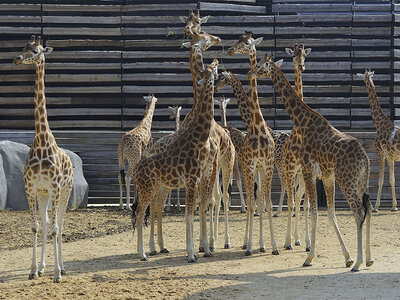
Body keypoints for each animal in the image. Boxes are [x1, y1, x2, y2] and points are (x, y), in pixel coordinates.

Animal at [131, 57, 219, 262]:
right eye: (212, 68)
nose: (216, 60)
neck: (200, 137)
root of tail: (136, 171)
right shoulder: (192, 180)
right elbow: (189, 215)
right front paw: (191, 254)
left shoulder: (199, 179)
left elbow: (199, 209)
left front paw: (206, 249)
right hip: (148, 188)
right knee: (140, 213)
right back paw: (143, 253)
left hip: (156, 187)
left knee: (149, 210)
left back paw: (149, 249)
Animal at [248, 54, 374, 272]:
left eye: (260, 66)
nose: (249, 73)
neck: (302, 121)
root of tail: (365, 159)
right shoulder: (326, 176)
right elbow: (329, 213)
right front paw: (346, 257)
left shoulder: (308, 171)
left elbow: (314, 212)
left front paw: (309, 257)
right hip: (360, 182)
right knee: (367, 209)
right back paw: (367, 259)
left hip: (346, 180)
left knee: (358, 212)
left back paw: (358, 263)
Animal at [360, 69, 400, 212]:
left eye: (364, 76)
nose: (365, 80)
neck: (379, 123)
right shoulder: (390, 157)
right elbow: (392, 179)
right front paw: (394, 206)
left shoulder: (380, 153)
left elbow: (380, 180)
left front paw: (376, 206)